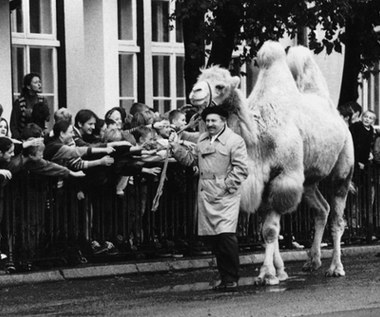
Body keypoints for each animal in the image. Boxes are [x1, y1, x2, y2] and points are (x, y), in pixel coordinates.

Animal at [189, 39, 354, 284]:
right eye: (200, 78)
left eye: (220, 86)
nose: (194, 92)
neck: (257, 136)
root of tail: (340, 120)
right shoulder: (261, 181)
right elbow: (266, 229)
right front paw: (279, 271)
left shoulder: (284, 176)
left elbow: (270, 230)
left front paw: (267, 273)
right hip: (308, 180)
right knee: (322, 209)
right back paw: (312, 261)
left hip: (343, 166)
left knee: (337, 217)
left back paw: (336, 267)